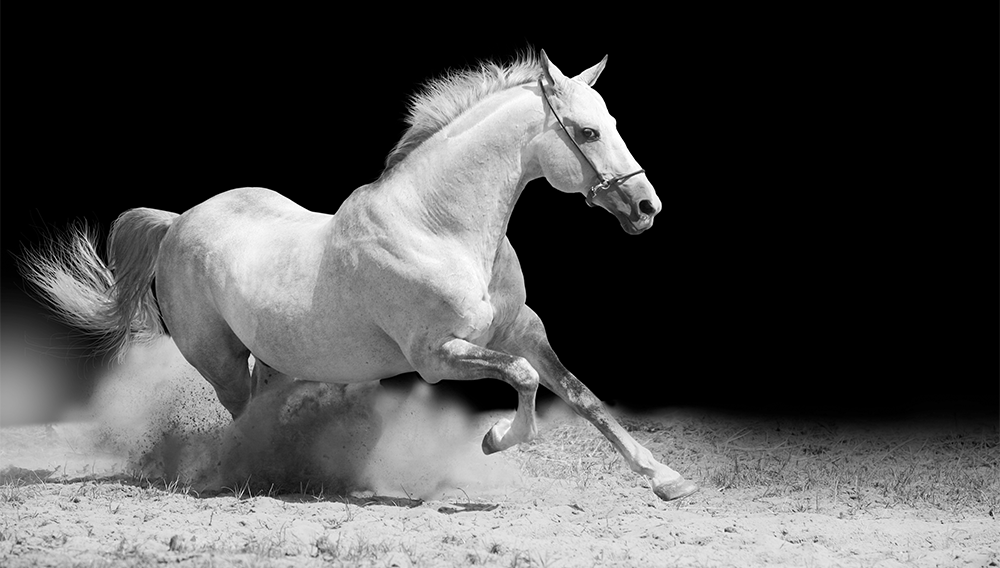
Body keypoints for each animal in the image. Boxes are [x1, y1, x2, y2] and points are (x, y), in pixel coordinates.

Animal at [21, 51, 696, 500]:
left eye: (613, 123)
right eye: (587, 131)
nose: (647, 207)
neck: (438, 227)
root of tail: (180, 220)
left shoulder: (522, 332)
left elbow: (583, 396)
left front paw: (667, 479)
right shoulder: (439, 354)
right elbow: (527, 382)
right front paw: (493, 439)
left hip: (273, 359)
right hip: (219, 361)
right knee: (242, 419)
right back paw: (255, 474)